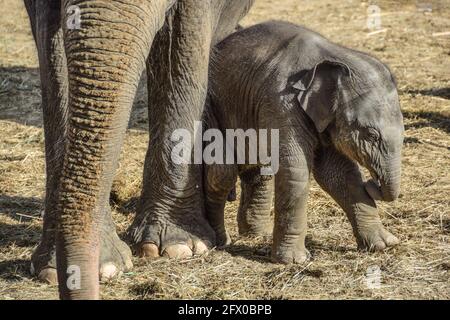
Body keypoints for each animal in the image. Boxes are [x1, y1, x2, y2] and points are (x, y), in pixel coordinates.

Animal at [204, 20, 404, 264]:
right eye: (371, 135)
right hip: (211, 109)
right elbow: (295, 169)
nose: (373, 183)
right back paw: (221, 241)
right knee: (221, 173)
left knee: (258, 169)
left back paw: (256, 235)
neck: (335, 55)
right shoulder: (280, 102)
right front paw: (294, 260)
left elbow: (339, 173)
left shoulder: (321, 118)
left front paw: (385, 244)